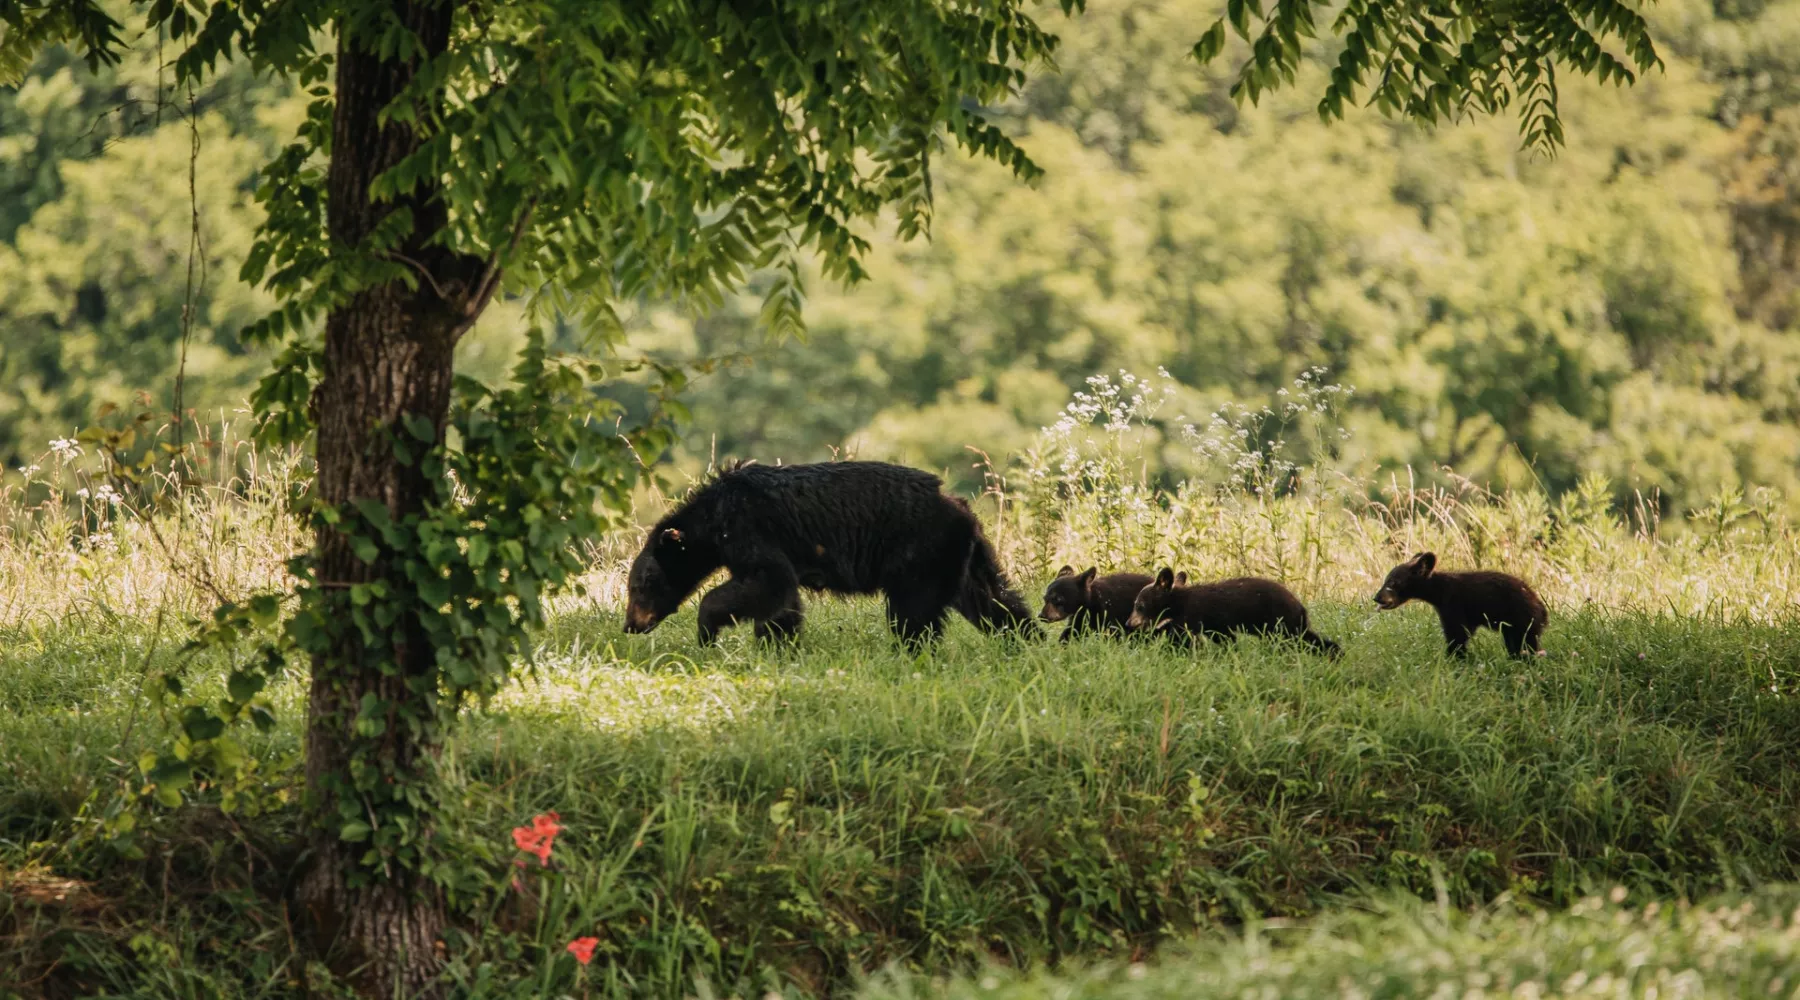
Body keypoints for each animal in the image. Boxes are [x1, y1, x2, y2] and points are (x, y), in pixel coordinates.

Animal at [622, 464, 1036, 643]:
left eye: (639, 586)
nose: (630, 625)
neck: (713, 519)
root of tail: (961, 507)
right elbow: (781, 600)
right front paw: (779, 644)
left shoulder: (749, 529)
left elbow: (767, 580)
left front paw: (707, 629)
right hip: (963, 556)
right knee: (993, 600)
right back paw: (1024, 639)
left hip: (921, 553)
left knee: (913, 613)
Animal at [1123, 571, 1339, 654]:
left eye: (1138, 605)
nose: (1128, 622)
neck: (1179, 602)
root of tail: (1300, 605)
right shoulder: (1214, 624)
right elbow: (1224, 637)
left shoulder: (1192, 614)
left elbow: (1182, 637)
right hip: (1291, 625)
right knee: (1310, 639)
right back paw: (1335, 652)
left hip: (1280, 623)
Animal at [1375, 550, 1548, 661]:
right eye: (1386, 580)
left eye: (1392, 582)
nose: (1376, 598)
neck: (1438, 592)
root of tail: (1542, 608)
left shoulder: (1454, 604)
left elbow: (1457, 634)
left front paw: (1455, 659)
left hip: (1522, 619)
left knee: (1525, 643)